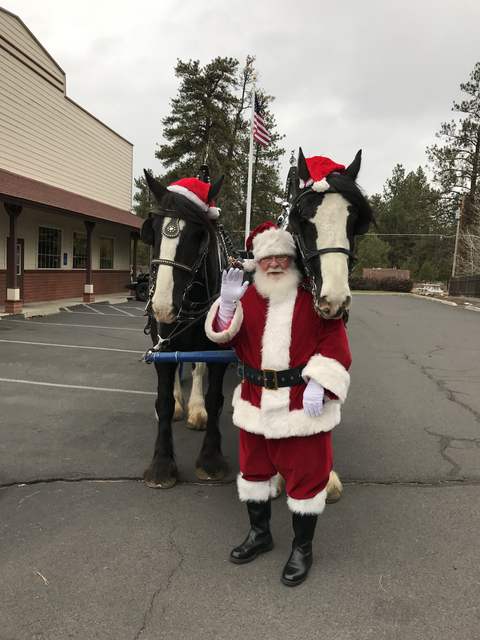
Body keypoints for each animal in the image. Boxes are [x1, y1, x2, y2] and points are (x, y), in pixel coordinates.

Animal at [141, 172, 229, 488]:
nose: (163, 305)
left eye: (199, 234)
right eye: (152, 231)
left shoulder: (218, 350)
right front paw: (162, 463)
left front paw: (211, 458)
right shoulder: (163, 343)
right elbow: (165, 399)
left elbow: (214, 396)